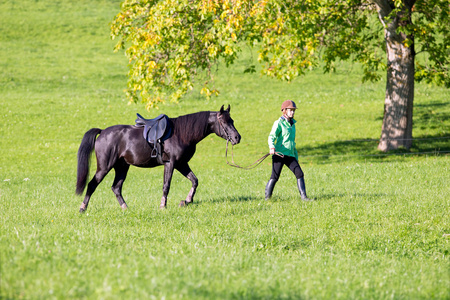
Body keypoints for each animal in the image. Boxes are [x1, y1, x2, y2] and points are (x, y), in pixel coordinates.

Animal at [75, 105, 241, 211]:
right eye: (224, 122)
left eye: (232, 120)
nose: (237, 138)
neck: (181, 133)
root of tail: (103, 132)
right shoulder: (171, 163)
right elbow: (166, 185)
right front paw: (163, 205)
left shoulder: (181, 164)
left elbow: (195, 181)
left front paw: (186, 201)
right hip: (104, 167)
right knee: (92, 184)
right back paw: (83, 208)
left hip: (122, 167)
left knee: (116, 187)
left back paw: (125, 208)